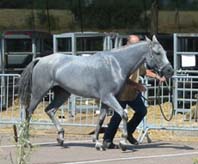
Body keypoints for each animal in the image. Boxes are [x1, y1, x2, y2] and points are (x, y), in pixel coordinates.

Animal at [18, 35, 173, 151]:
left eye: (165, 52)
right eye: (157, 53)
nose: (169, 71)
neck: (116, 64)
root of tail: (40, 60)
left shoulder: (105, 100)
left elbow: (101, 119)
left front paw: (98, 143)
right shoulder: (109, 97)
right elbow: (123, 114)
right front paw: (122, 143)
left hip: (62, 93)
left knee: (50, 110)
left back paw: (61, 138)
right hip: (39, 92)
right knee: (29, 112)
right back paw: (26, 141)